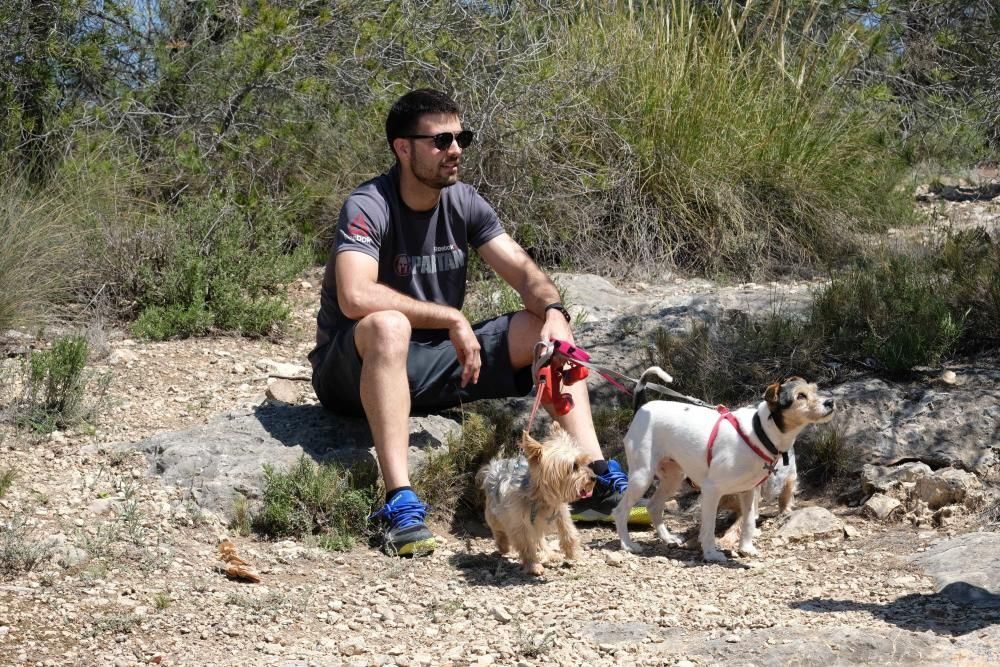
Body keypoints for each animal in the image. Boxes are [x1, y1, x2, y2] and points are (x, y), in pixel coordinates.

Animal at [612, 370, 832, 564]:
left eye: (816, 389)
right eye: (800, 396)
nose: (830, 402)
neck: (760, 432)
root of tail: (642, 407)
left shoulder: (748, 492)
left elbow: (748, 522)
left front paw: (746, 548)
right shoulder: (711, 491)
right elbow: (709, 527)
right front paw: (711, 553)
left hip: (672, 478)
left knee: (653, 506)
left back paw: (668, 538)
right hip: (642, 477)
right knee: (621, 510)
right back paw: (628, 545)